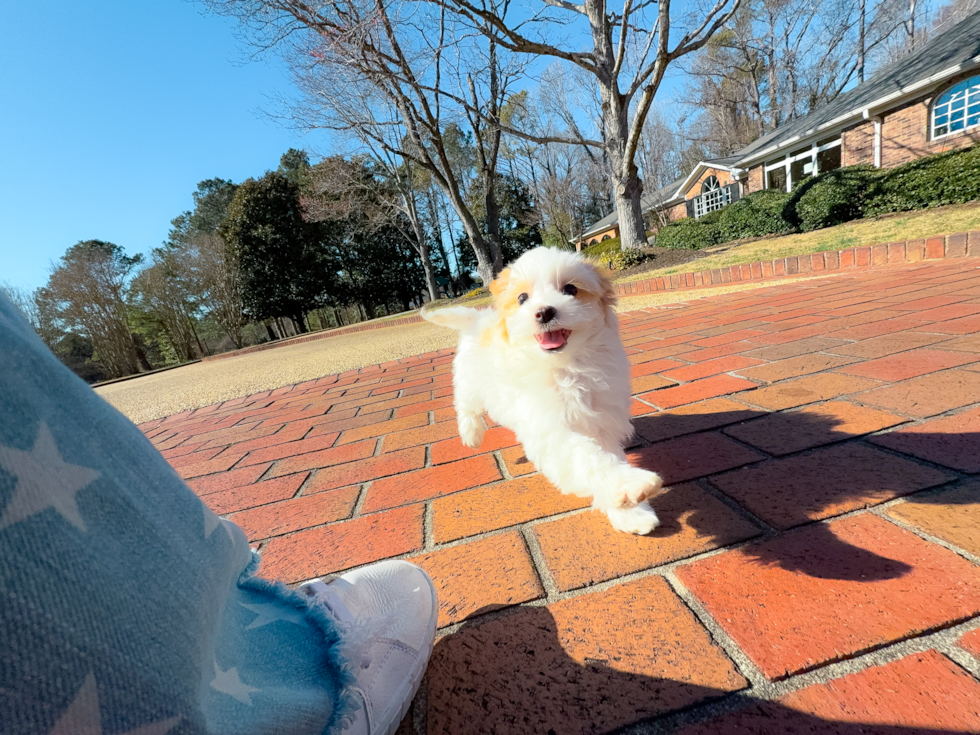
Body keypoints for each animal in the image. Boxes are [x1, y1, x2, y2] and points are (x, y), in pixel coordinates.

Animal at [424, 247, 664, 536]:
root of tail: (479, 319)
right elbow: (587, 457)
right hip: (469, 380)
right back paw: (471, 434)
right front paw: (630, 485)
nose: (544, 312)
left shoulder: (601, 420)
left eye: (570, 289)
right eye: (522, 298)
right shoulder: (552, 430)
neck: (566, 366)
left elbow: (607, 454)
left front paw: (631, 513)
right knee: (465, 404)